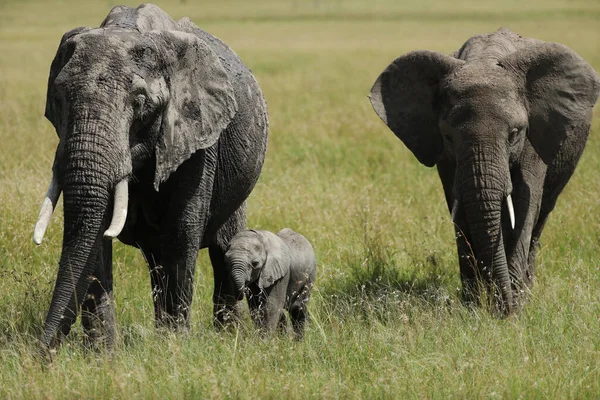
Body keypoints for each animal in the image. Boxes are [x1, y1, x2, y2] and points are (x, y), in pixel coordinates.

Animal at [32, 3, 268, 348]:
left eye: (140, 104)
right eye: (59, 100)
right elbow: (95, 238)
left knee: (224, 250)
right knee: (157, 261)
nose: (41, 353)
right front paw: (105, 353)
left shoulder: (198, 136)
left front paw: (175, 346)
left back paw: (227, 337)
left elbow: (183, 229)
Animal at [370, 28, 600, 316]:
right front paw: (472, 309)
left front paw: (514, 311)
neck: (485, 60)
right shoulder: (445, 155)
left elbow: (524, 206)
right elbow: (461, 210)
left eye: (514, 134)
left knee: (541, 216)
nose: (501, 309)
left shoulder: (535, 138)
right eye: (448, 137)